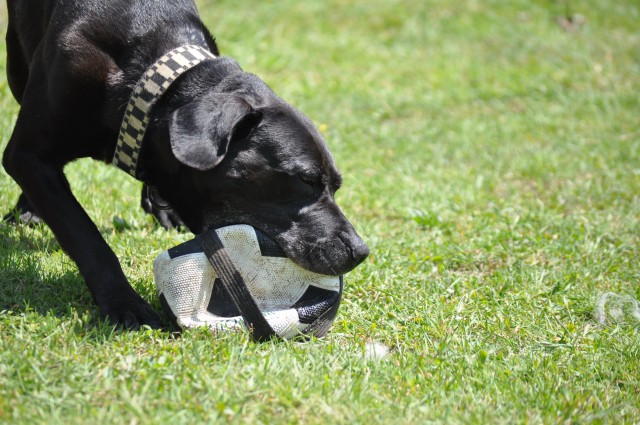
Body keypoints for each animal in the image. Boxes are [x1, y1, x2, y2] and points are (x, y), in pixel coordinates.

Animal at [2, 0, 368, 328]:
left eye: (335, 185)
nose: (360, 251)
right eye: (304, 180)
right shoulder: (27, 154)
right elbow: (84, 235)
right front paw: (124, 304)